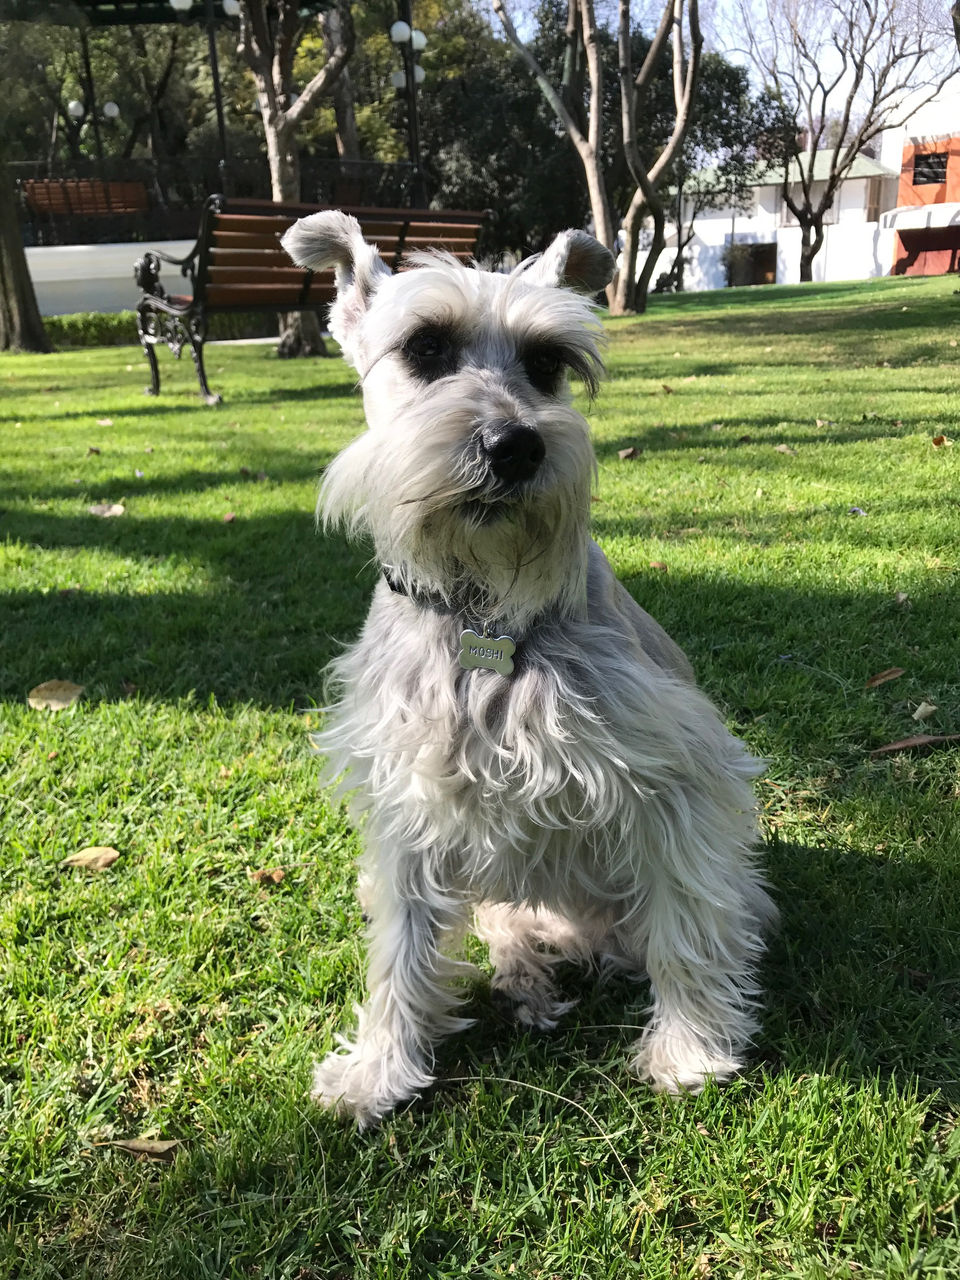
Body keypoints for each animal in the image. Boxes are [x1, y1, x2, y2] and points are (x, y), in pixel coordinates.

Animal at [281, 213, 776, 1127]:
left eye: (549, 363)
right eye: (425, 346)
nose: (516, 445)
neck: (481, 606)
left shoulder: (677, 781)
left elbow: (688, 918)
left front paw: (690, 1047)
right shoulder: (408, 803)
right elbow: (400, 947)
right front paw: (380, 1066)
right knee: (502, 925)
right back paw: (527, 981)